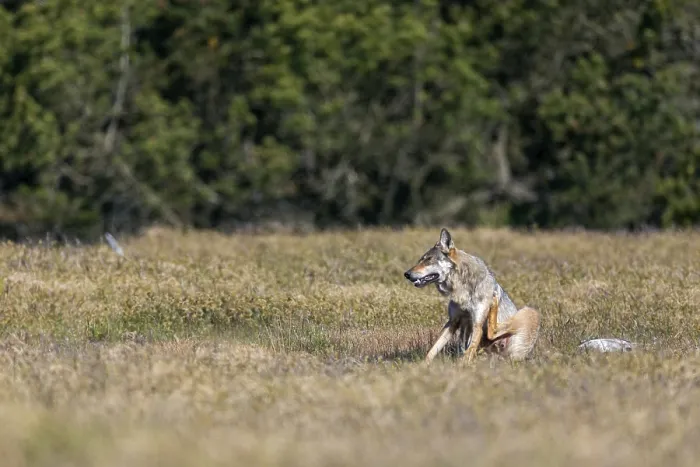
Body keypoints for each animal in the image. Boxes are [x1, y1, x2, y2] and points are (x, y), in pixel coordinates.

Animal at [404, 228, 540, 364]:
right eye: (420, 260)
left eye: (428, 260)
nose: (406, 274)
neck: (461, 288)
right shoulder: (453, 321)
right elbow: (433, 350)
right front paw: (422, 365)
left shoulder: (477, 323)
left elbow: (466, 354)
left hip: (529, 311)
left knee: (492, 331)